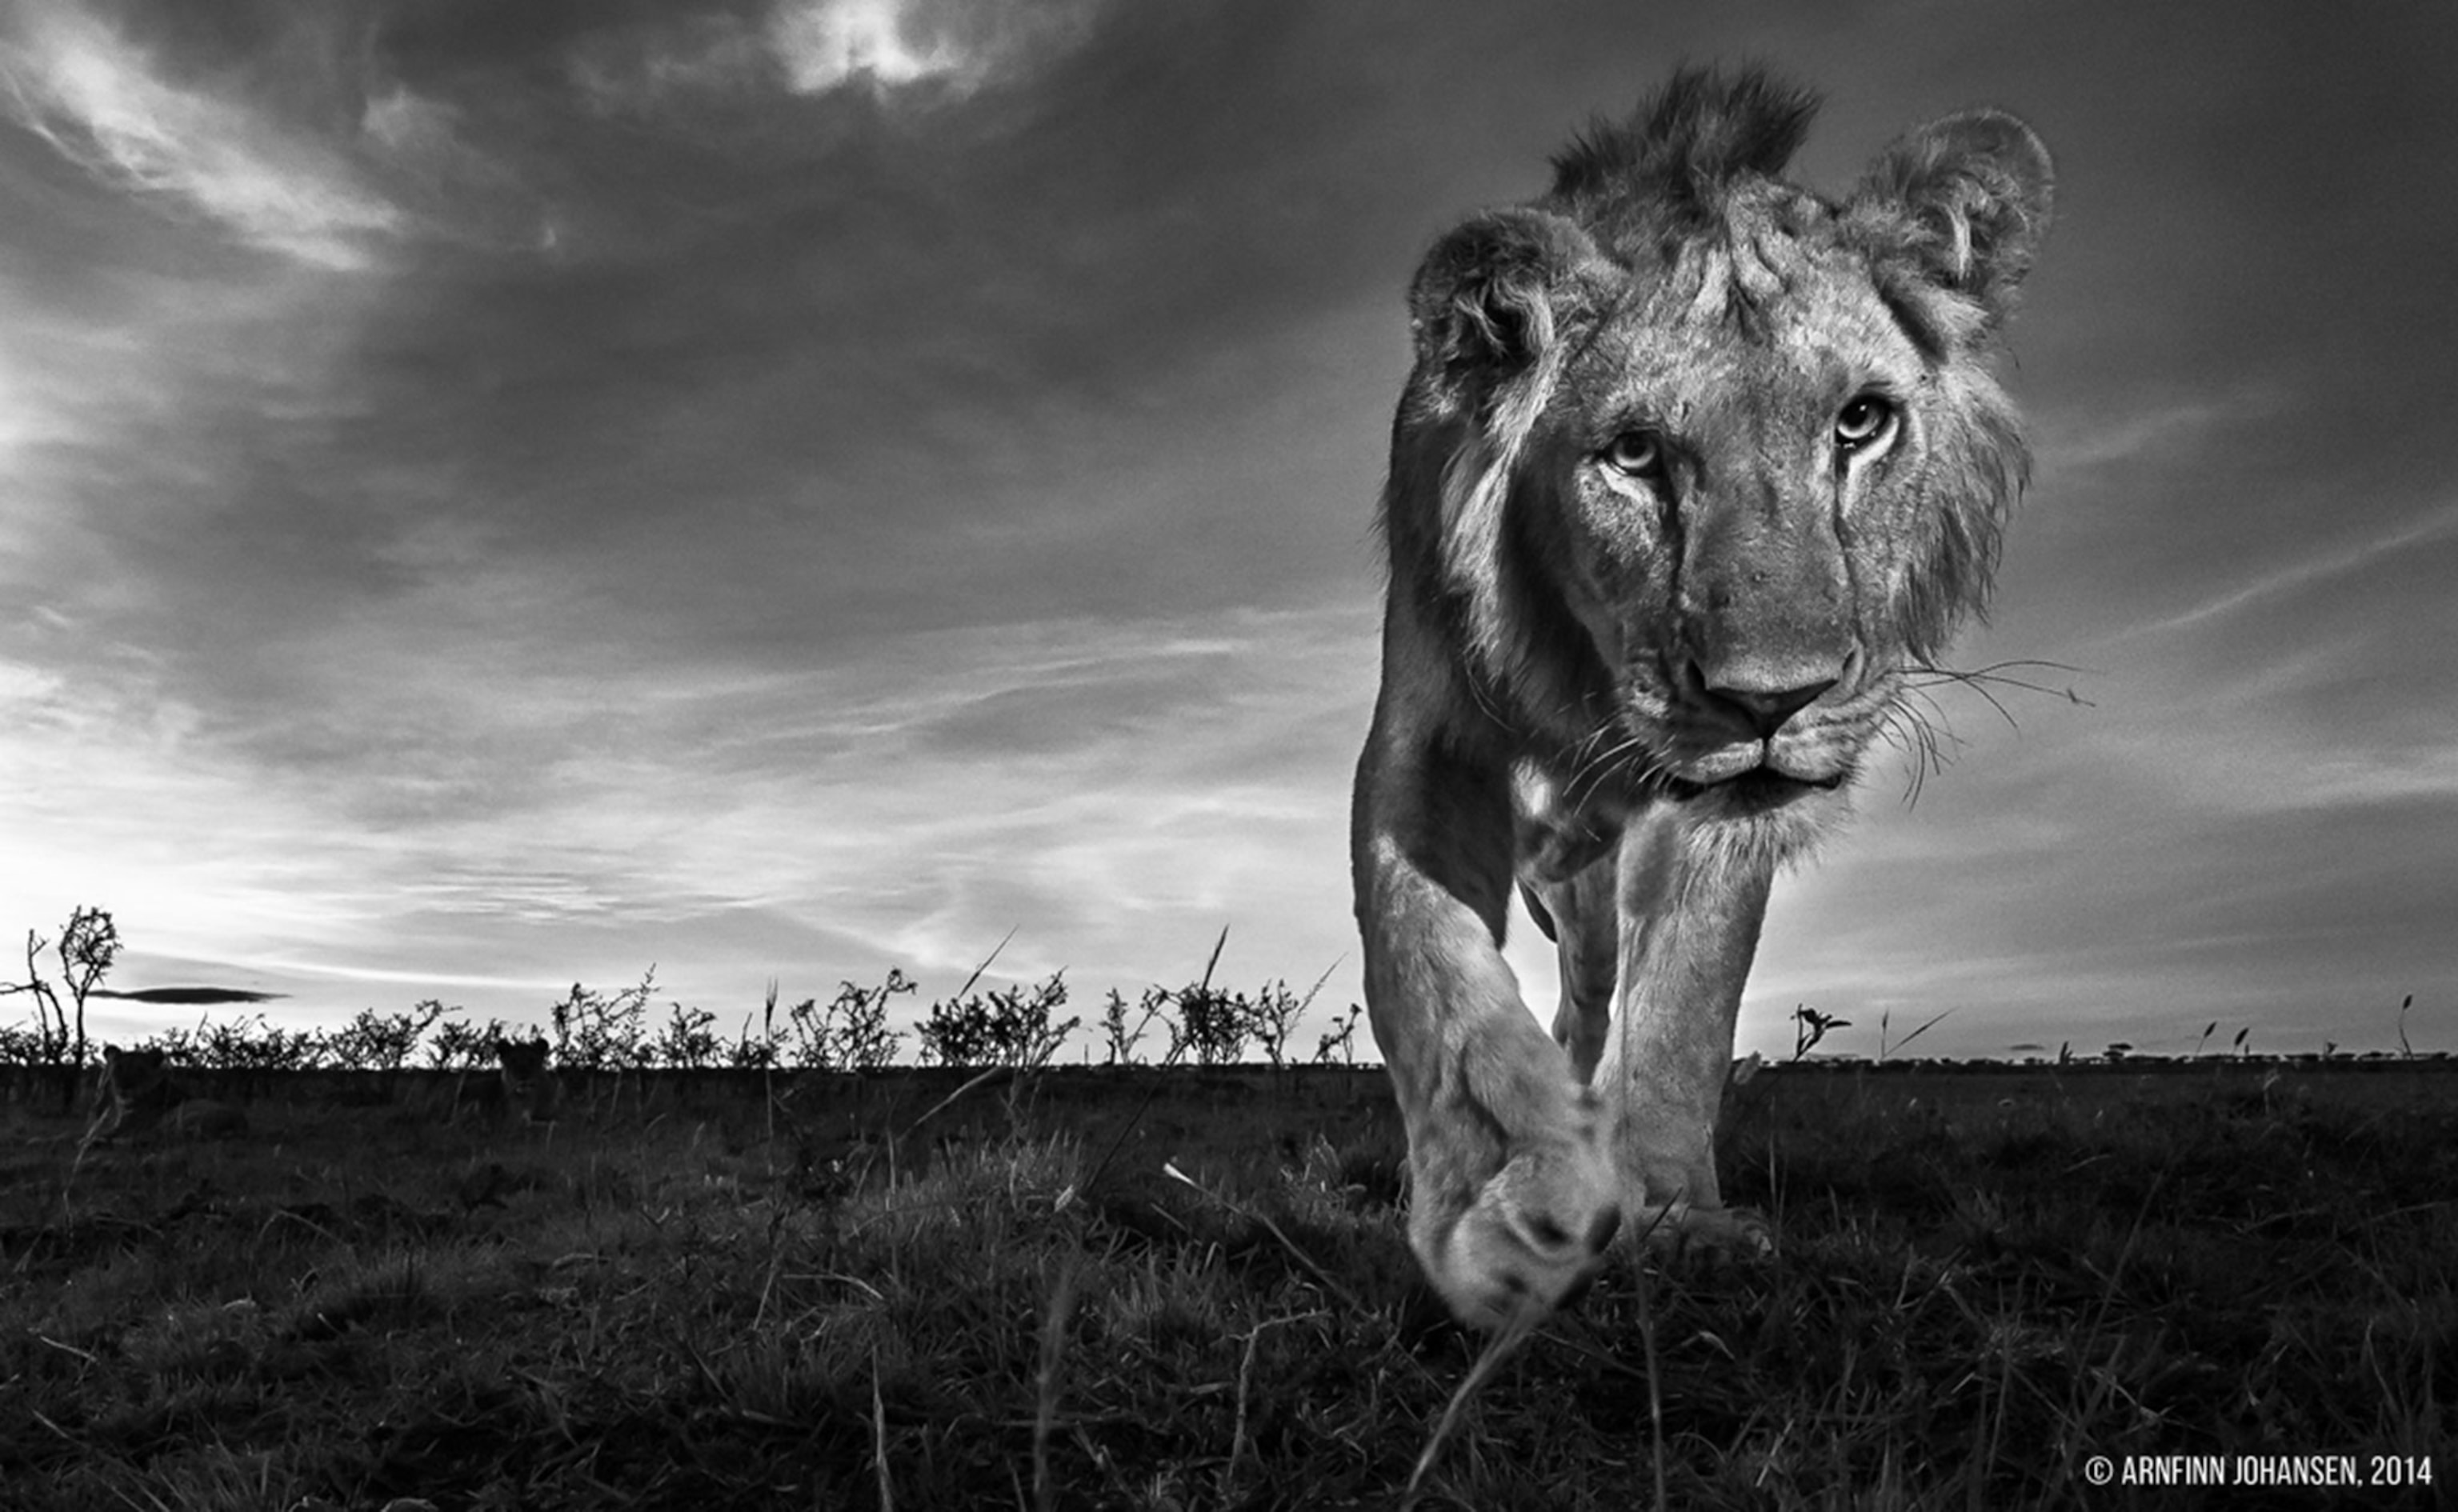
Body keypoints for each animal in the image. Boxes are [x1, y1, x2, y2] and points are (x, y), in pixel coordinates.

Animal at [82, 1045, 248, 1147]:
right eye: (118, 1069)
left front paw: (88, 1139)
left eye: (140, 1070)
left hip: (177, 1118)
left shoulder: (126, 1127)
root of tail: (242, 1124)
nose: (125, 1087)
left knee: (155, 1139)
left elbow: (96, 1132)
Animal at [1353, 66, 2053, 1328]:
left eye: (1861, 422)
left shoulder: (1721, 814)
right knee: (1576, 1002)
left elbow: (1686, 1003)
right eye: (1633, 454)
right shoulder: (1424, 739)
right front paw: (1501, 1206)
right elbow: (1428, 967)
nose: (1772, 701)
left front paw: (1680, 1218)